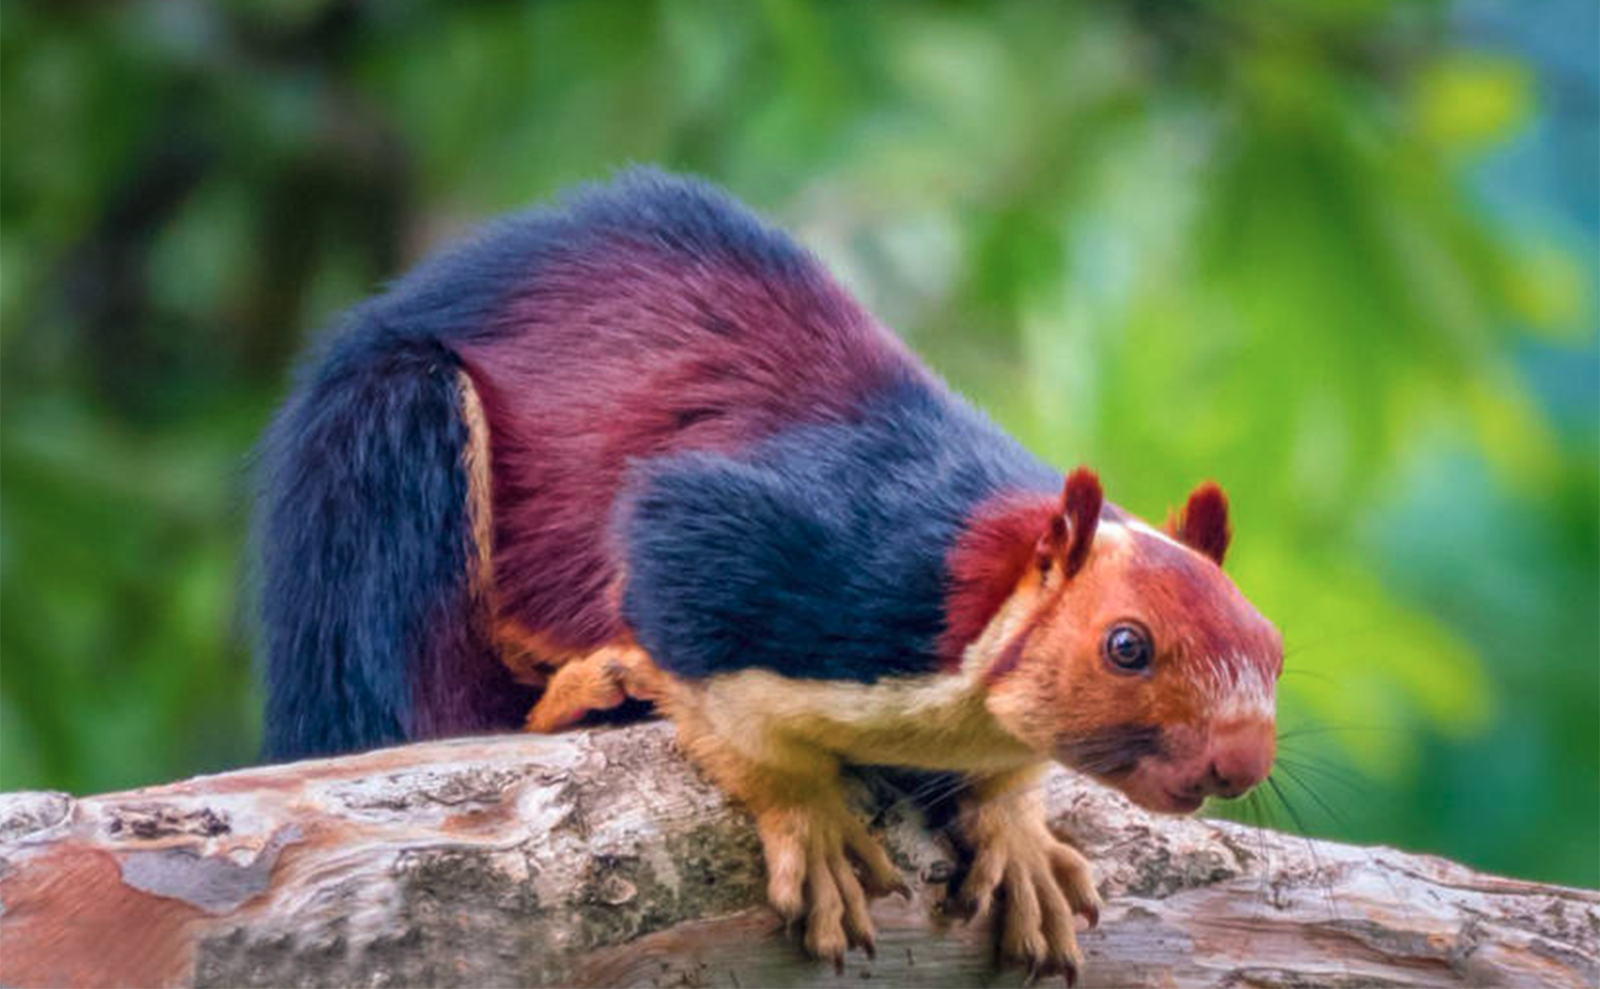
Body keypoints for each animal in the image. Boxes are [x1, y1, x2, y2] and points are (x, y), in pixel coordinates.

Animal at [257, 167, 1282, 982]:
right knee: (419, 710)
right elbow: (716, 679)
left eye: (1273, 646)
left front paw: (1018, 831)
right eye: (1126, 645)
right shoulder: (773, 550)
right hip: (387, 454)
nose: (1242, 760)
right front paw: (809, 818)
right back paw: (587, 693)